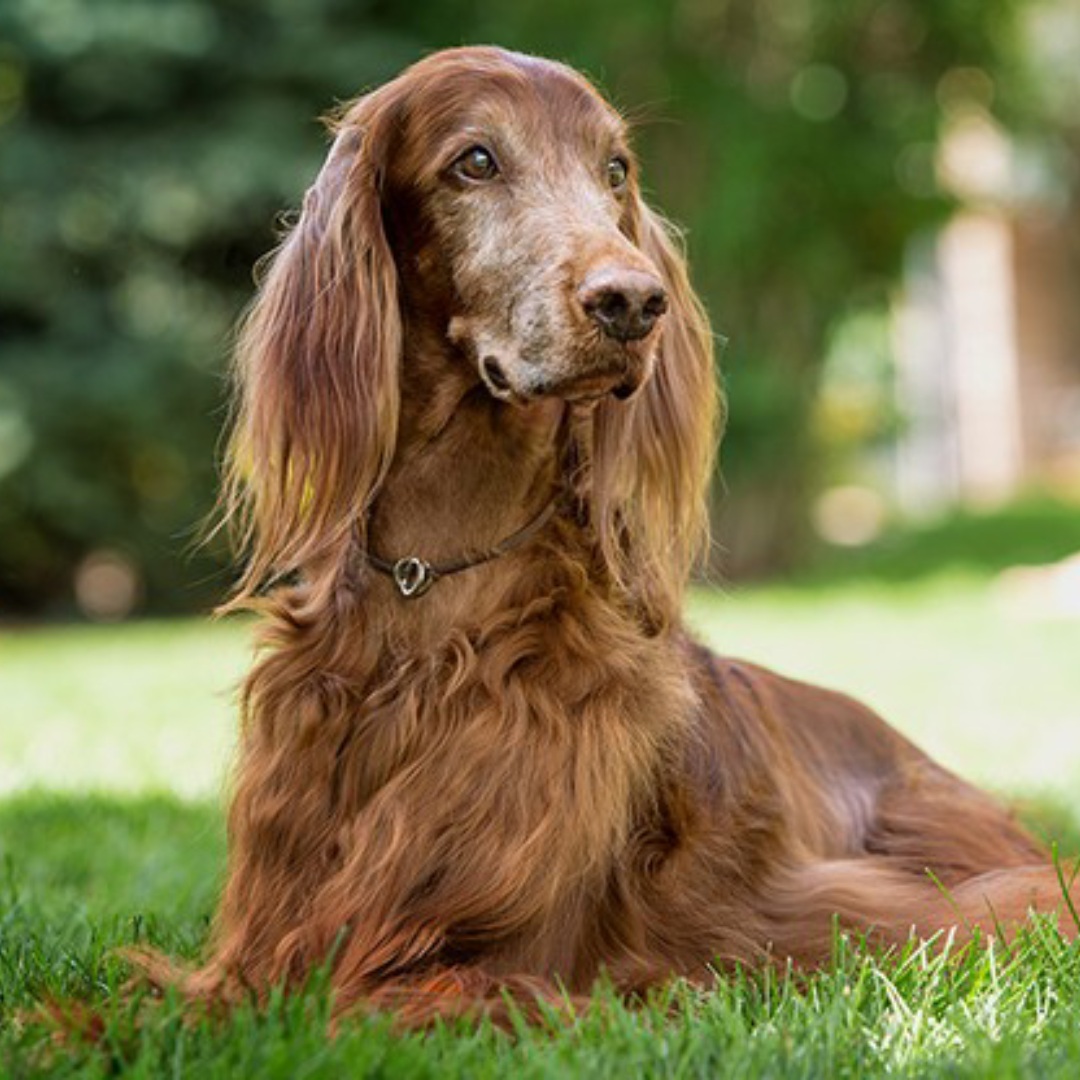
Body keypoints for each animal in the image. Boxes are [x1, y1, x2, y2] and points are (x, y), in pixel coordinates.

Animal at [166, 46, 1071, 1023]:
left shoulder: (510, 966)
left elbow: (340, 1002)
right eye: (475, 161)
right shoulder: (261, 941)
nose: (634, 301)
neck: (433, 578)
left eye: (615, 170)